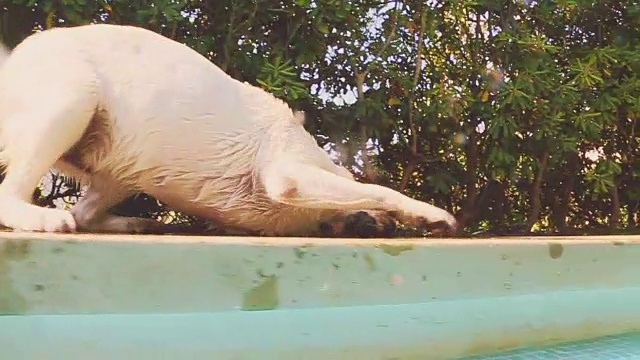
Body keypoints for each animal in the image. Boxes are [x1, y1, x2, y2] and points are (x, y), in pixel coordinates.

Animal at [0, 24, 458, 236]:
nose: (373, 226)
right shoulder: (288, 173)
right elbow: (379, 189)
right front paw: (427, 213)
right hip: (74, 97)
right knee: (13, 196)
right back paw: (40, 218)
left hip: (122, 169)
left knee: (85, 212)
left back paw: (130, 223)